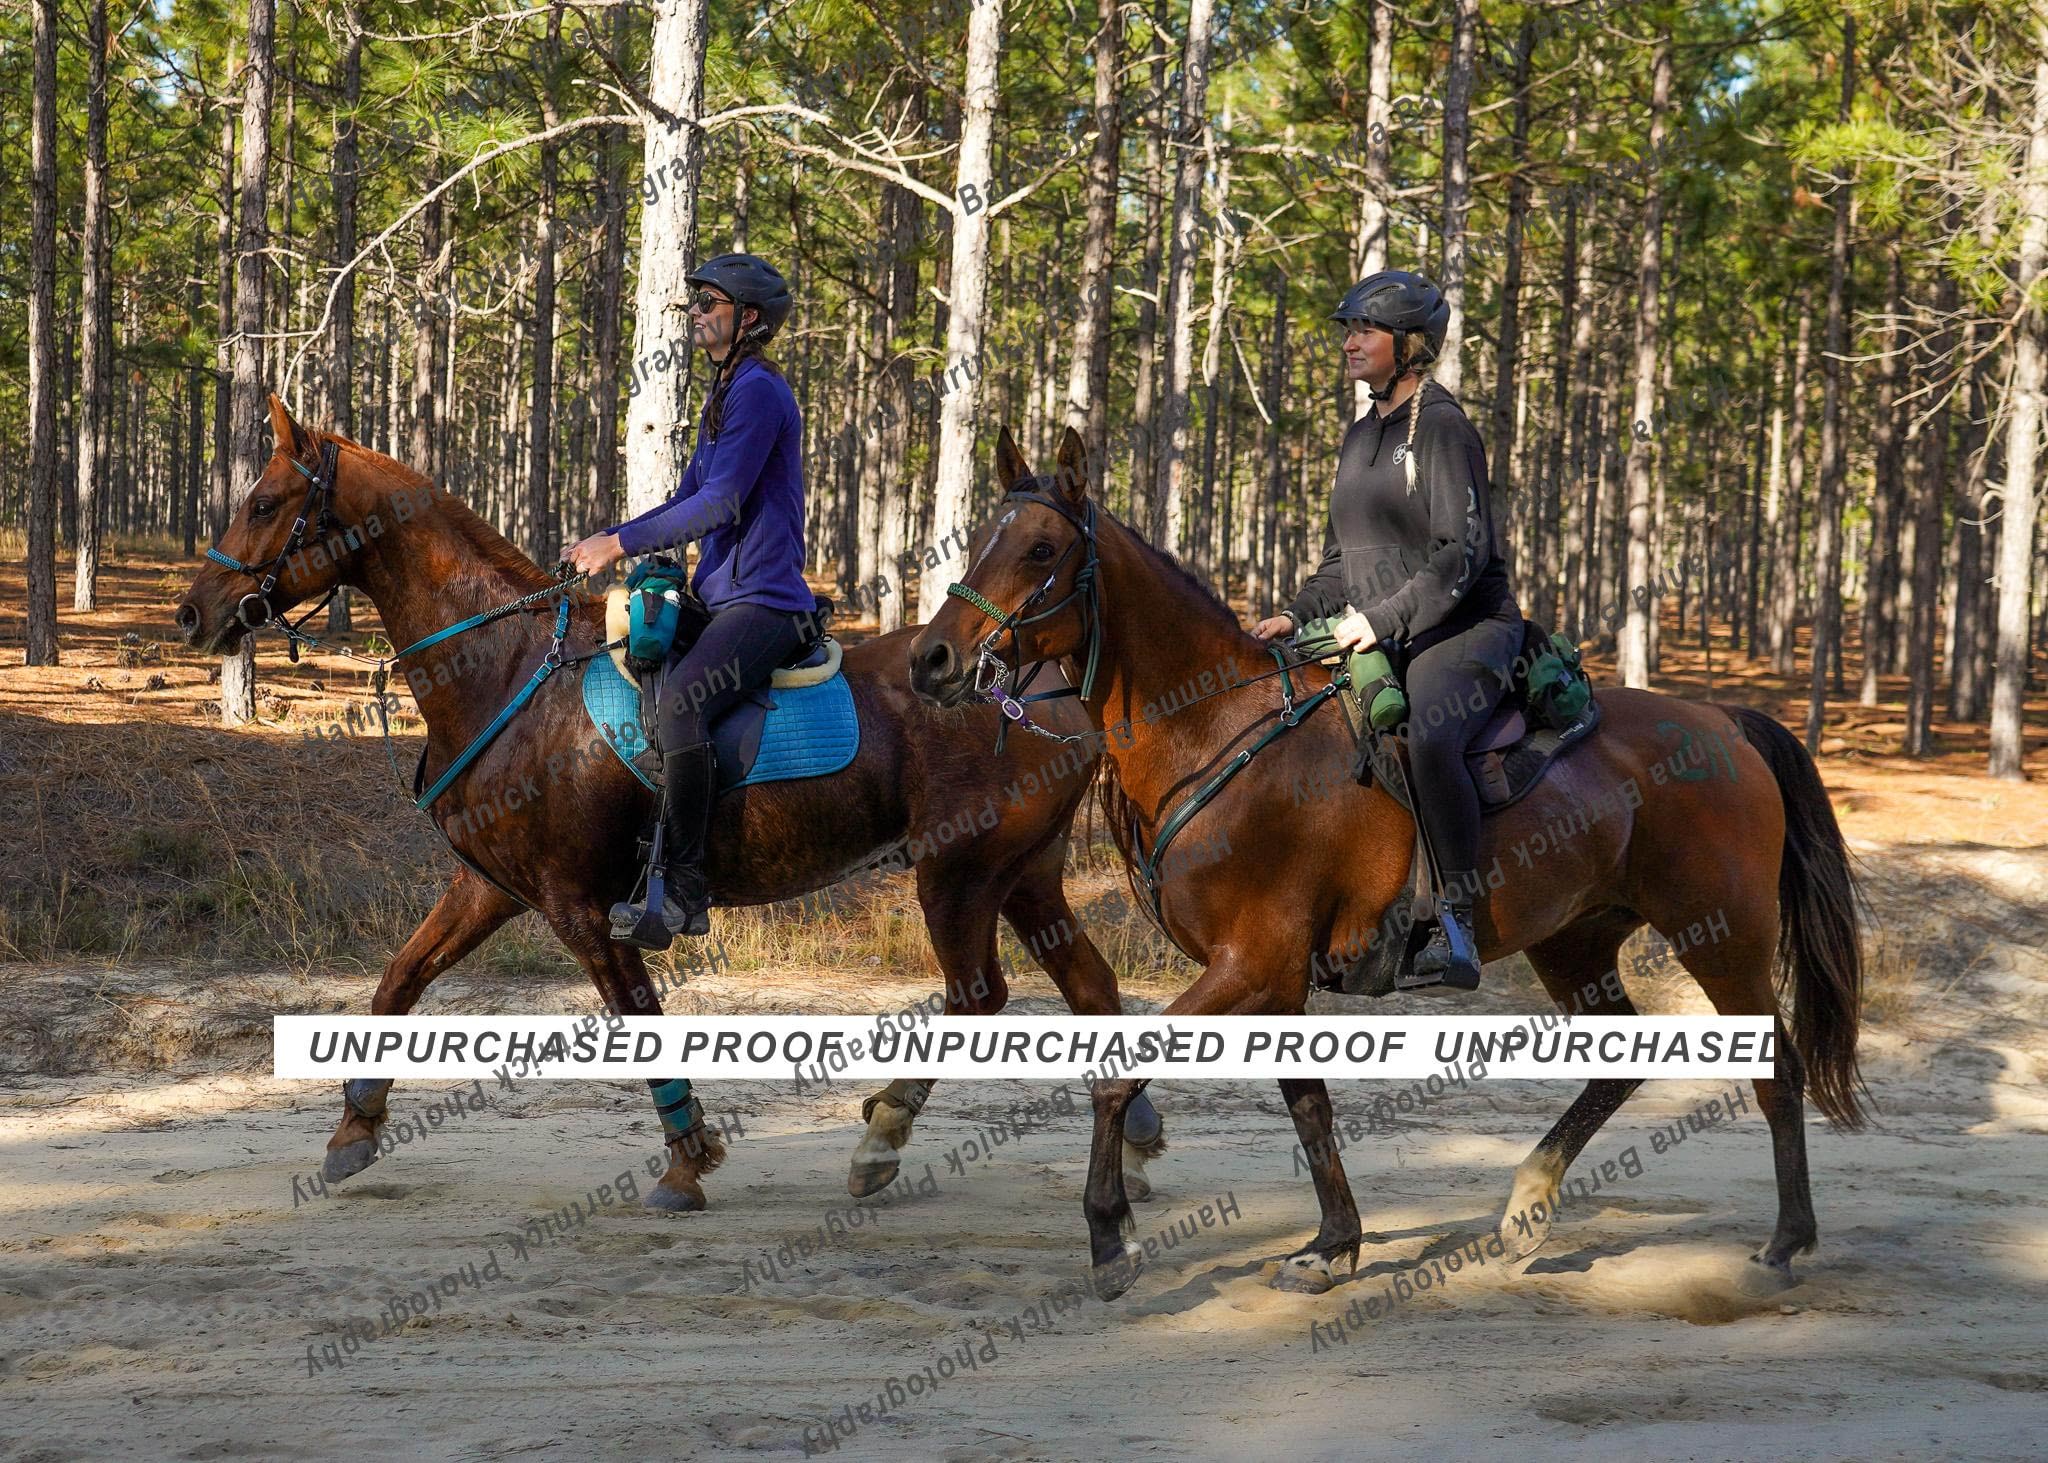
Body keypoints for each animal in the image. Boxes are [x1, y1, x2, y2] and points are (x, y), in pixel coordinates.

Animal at [174, 395, 1167, 1212]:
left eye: (265, 502)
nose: (193, 613)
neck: (510, 670)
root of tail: (1046, 691)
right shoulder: (492, 886)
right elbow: (399, 980)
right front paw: (354, 1127)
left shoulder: (581, 907)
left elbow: (639, 1021)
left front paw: (687, 1159)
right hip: (1024, 874)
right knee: (1089, 985)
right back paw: (1135, 1125)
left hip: (958, 874)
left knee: (977, 996)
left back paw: (883, 1136)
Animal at [909, 424, 1864, 1302]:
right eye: (979, 537)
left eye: (1040, 548)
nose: (931, 658)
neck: (1217, 731)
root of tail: (1724, 722)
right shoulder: (1275, 978)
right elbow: (1308, 1102)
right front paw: (1333, 1244)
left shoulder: (1251, 962)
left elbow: (1119, 1072)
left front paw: (1111, 1236)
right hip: (1576, 939)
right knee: (1622, 1059)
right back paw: (1529, 1204)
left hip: (1720, 934)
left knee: (1776, 1065)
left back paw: (1786, 1242)